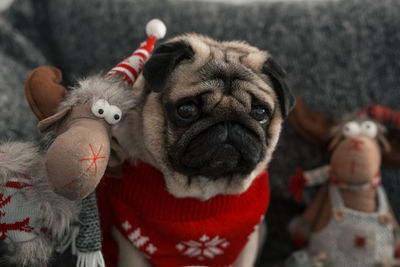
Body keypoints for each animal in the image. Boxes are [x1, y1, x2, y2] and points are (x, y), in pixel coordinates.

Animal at [97, 34, 294, 267]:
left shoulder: (247, 246)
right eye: (187, 109)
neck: (204, 191)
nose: (228, 121)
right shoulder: (131, 247)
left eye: (259, 112)